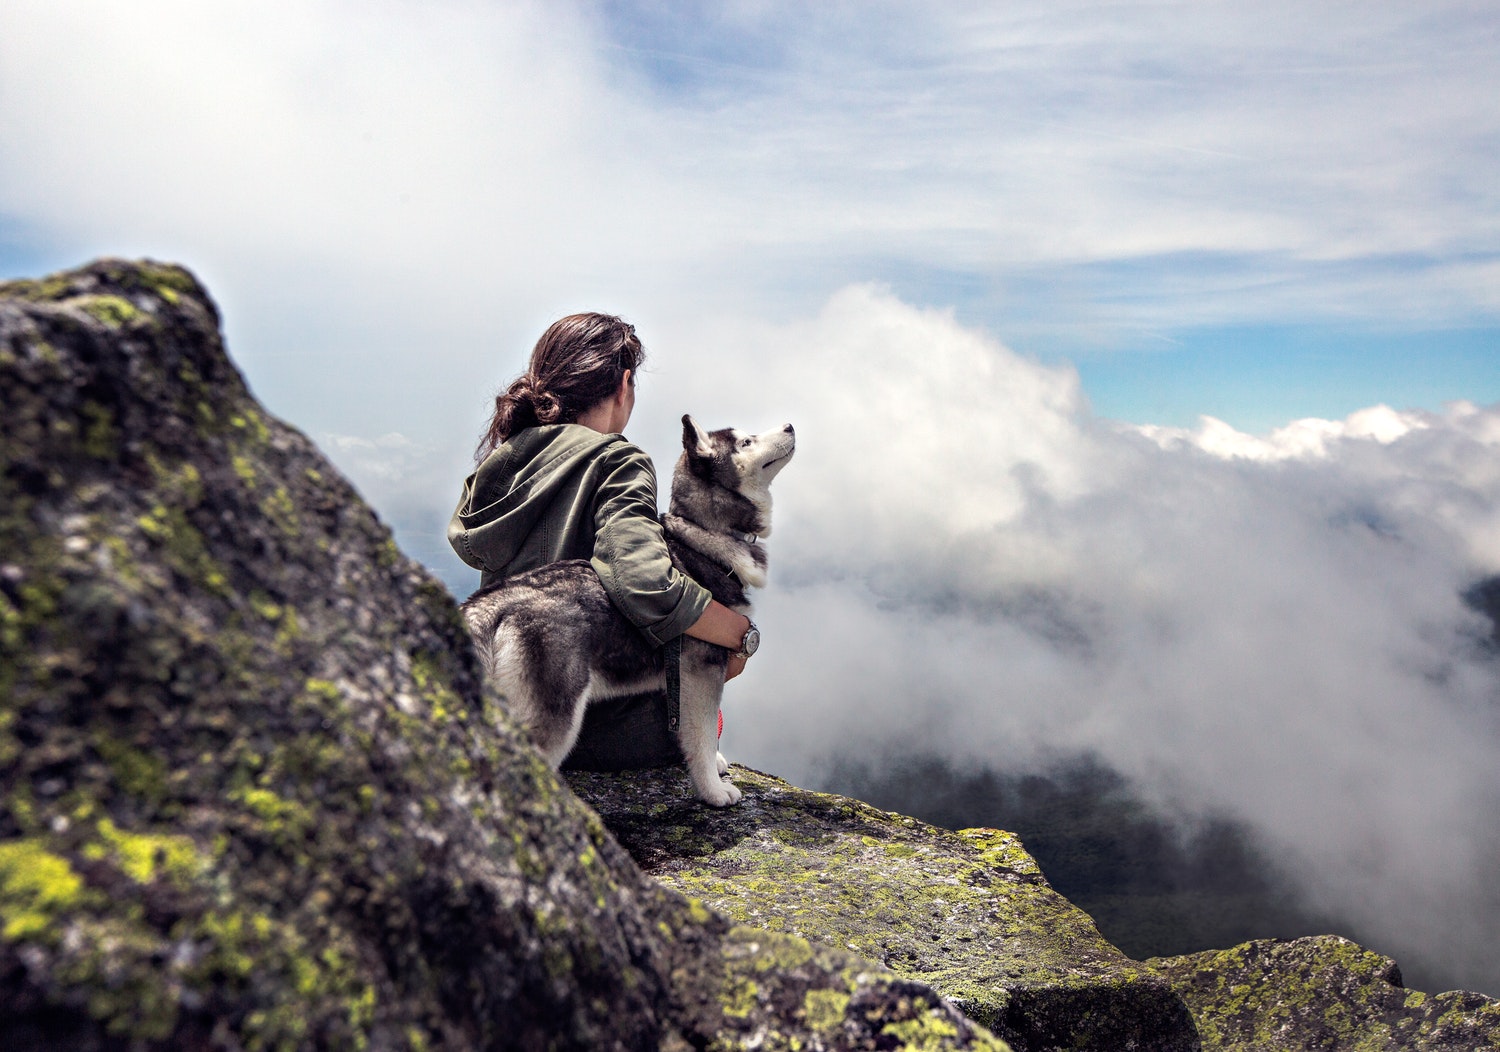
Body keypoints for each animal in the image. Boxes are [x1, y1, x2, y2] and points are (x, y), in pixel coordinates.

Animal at [462, 411, 798, 804]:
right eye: (746, 441)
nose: (790, 425)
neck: (702, 535)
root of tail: (491, 603)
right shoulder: (703, 669)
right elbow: (701, 733)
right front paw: (712, 791)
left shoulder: (680, 679)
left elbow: (690, 730)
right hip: (555, 715)